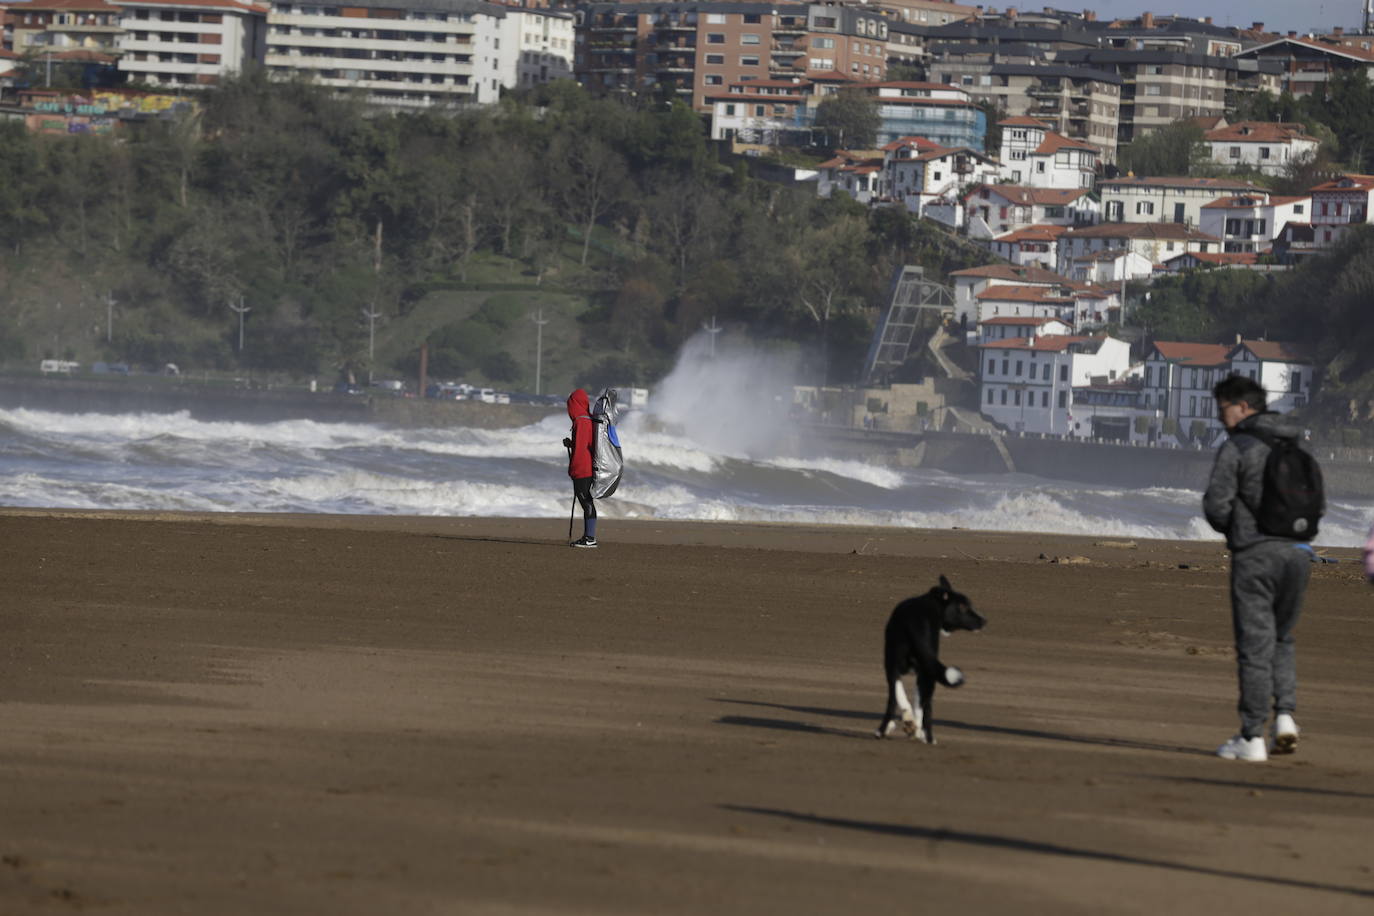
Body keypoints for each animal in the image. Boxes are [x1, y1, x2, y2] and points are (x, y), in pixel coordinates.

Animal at [873, 579, 983, 747]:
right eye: (964, 607)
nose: (984, 621)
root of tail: (916, 621)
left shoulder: (899, 668)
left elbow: (904, 698)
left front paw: (910, 725)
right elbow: (917, 704)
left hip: (904, 666)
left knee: (898, 701)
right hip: (923, 670)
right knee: (918, 705)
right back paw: (922, 735)